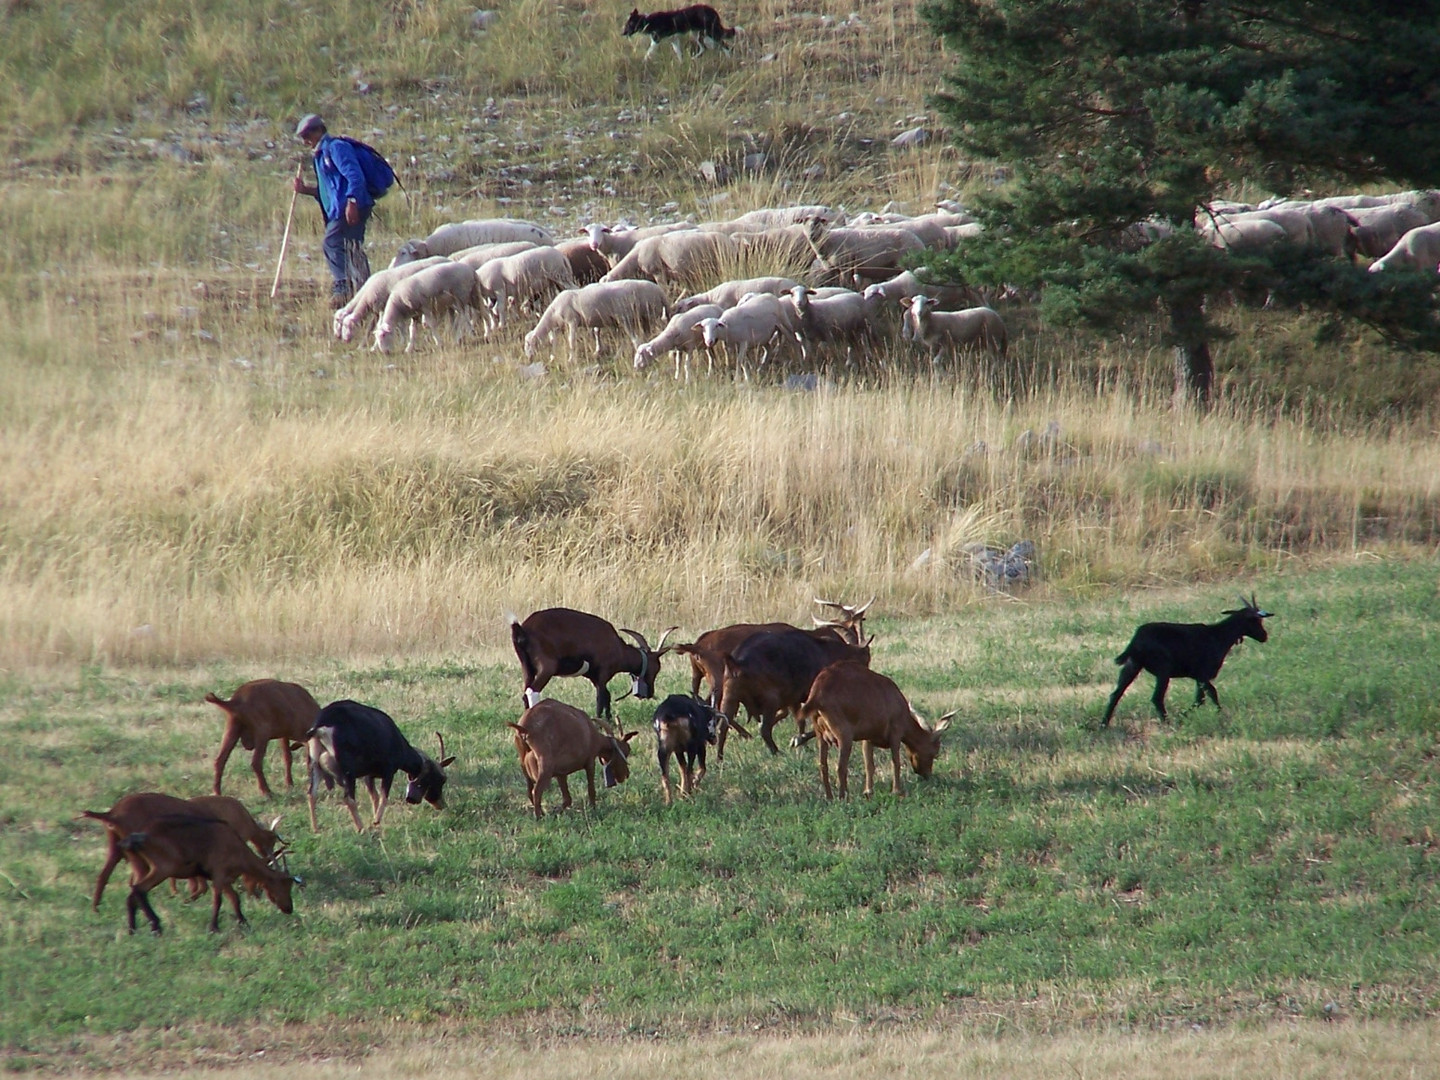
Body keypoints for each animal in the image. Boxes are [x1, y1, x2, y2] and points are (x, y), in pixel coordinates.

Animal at [509, 702, 639, 817]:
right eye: (627, 751)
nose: (626, 775)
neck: (592, 733)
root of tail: (524, 729)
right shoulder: (590, 763)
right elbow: (591, 790)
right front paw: (593, 809)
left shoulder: (561, 773)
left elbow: (567, 799)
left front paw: (556, 811)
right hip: (545, 767)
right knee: (536, 791)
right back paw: (539, 817)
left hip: (524, 766)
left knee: (529, 791)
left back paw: (542, 813)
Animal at [524, 279, 668, 360]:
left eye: (528, 344)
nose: (529, 359)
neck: (553, 314)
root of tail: (660, 292)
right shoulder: (559, 326)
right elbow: (553, 340)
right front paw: (553, 357)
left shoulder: (572, 321)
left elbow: (571, 341)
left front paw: (571, 360)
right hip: (641, 319)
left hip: (626, 317)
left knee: (635, 339)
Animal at [794, 659, 950, 806]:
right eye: (934, 753)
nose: (927, 775)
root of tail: (817, 692)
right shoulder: (895, 732)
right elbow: (896, 761)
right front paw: (896, 791)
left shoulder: (867, 738)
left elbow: (869, 764)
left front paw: (868, 791)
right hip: (844, 734)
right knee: (840, 767)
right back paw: (844, 798)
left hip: (821, 735)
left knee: (823, 766)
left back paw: (830, 798)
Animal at [1100, 601, 1272, 728]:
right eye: (1255, 620)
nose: (1264, 636)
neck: (1219, 636)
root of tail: (1135, 641)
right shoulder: (1203, 674)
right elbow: (1207, 696)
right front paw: (1188, 715)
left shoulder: (1199, 677)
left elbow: (1205, 696)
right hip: (1163, 670)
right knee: (1157, 698)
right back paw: (1168, 723)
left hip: (1132, 665)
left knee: (1116, 694)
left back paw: (1104, 724)